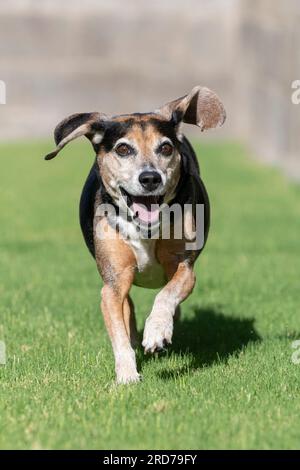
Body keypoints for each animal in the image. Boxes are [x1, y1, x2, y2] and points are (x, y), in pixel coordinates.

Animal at [45, 86, 225, 384]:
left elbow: (167, 294)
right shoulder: (113, 283)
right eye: (123, 148)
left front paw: (157, 331)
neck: (145, 228)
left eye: (165, 147)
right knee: (127, 308)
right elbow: (118, 330)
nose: (150, 178)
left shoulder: (185, 268)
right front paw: (127, 374)